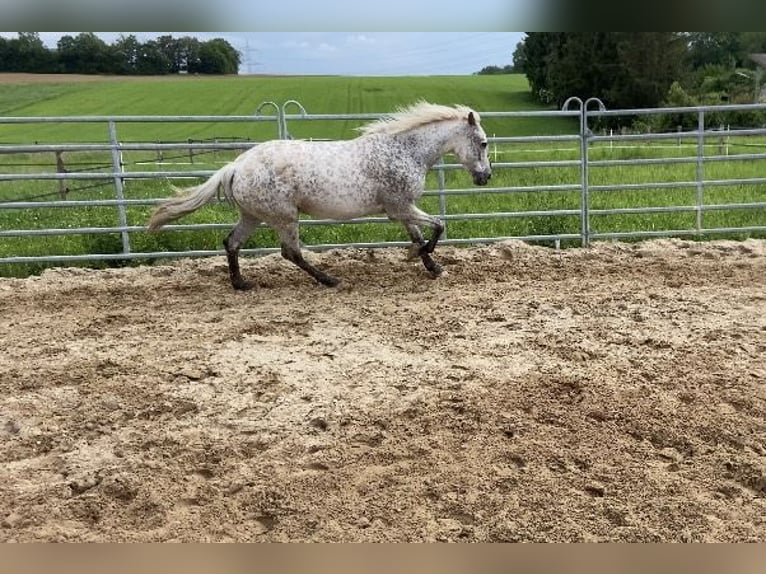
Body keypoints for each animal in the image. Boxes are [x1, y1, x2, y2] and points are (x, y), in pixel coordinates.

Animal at [147, 102, 492, 290]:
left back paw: (242, 284)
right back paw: (329, 280)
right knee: (291, 252)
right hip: (284, 216)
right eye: (484, 143)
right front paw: (420, 256)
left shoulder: (402, 208)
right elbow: (438, 226)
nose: (485, 177)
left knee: (232, 243)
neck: (404, 152)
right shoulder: (400, 207)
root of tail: (236, 166)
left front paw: (432, 266)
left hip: (254, 216)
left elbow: (420, 234)